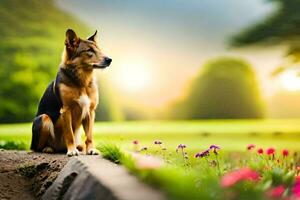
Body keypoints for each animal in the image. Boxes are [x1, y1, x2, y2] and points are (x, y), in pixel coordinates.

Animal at [31, 28, 112, 156]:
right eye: (89, 50)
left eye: (99, 49)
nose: (109, 60)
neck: (82, 82)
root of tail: (60, 148)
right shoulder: (66, 110)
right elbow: (69, 134)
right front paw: (72, 150)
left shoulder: (90, 111)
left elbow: (89, 135)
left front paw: (91, 149)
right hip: (43, 119)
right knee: (37, 148)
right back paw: (49, 148)